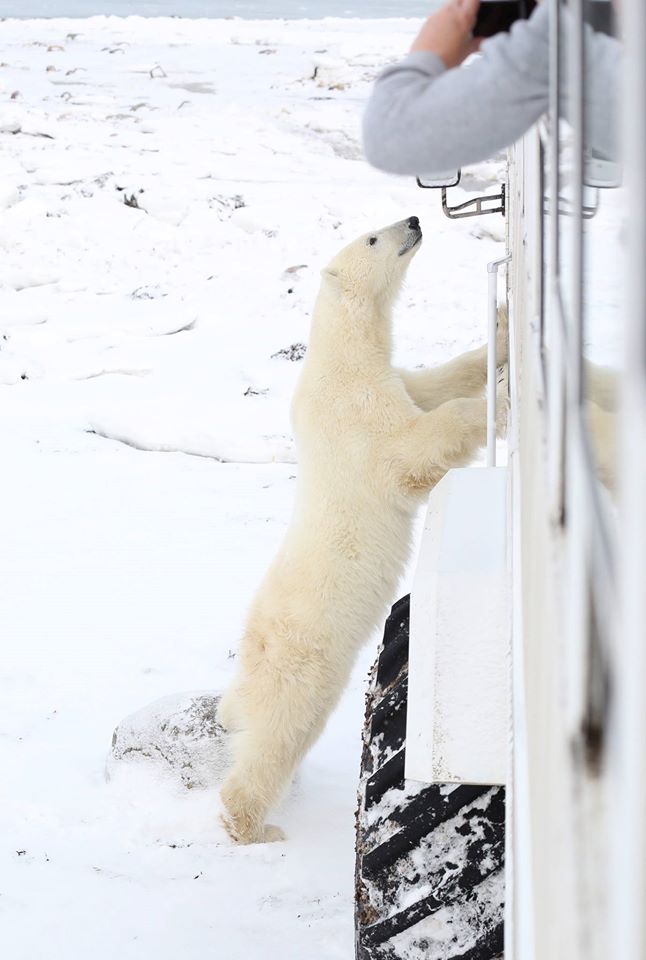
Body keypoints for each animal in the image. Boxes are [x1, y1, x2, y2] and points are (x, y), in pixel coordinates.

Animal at [218, 215, 508, 844]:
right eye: (373, 238)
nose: (415, 220)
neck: (342, 355)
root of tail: (254, 645)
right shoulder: (356, 412)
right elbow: (411, 447)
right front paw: (500, 396)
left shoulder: (391, 380)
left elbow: (433, 385)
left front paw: (495, 338)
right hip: (306, 657)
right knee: (283, 729)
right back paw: (253, 827)